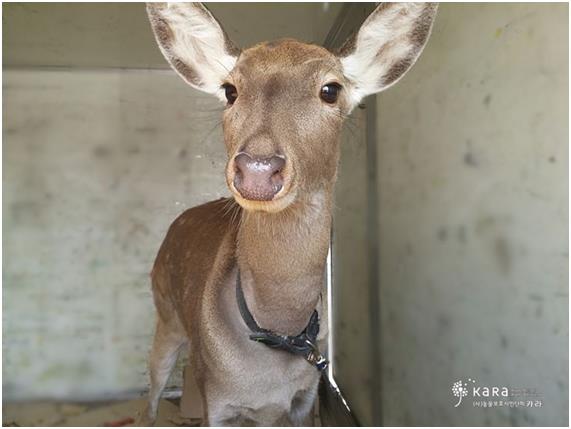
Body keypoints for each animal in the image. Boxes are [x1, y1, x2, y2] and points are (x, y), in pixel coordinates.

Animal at [142, 2, 438, 424]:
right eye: (230, 90)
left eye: (331, 90)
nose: (258, 169)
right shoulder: (216, 399)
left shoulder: (306, 394)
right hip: (164, 310)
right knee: (152, 390)